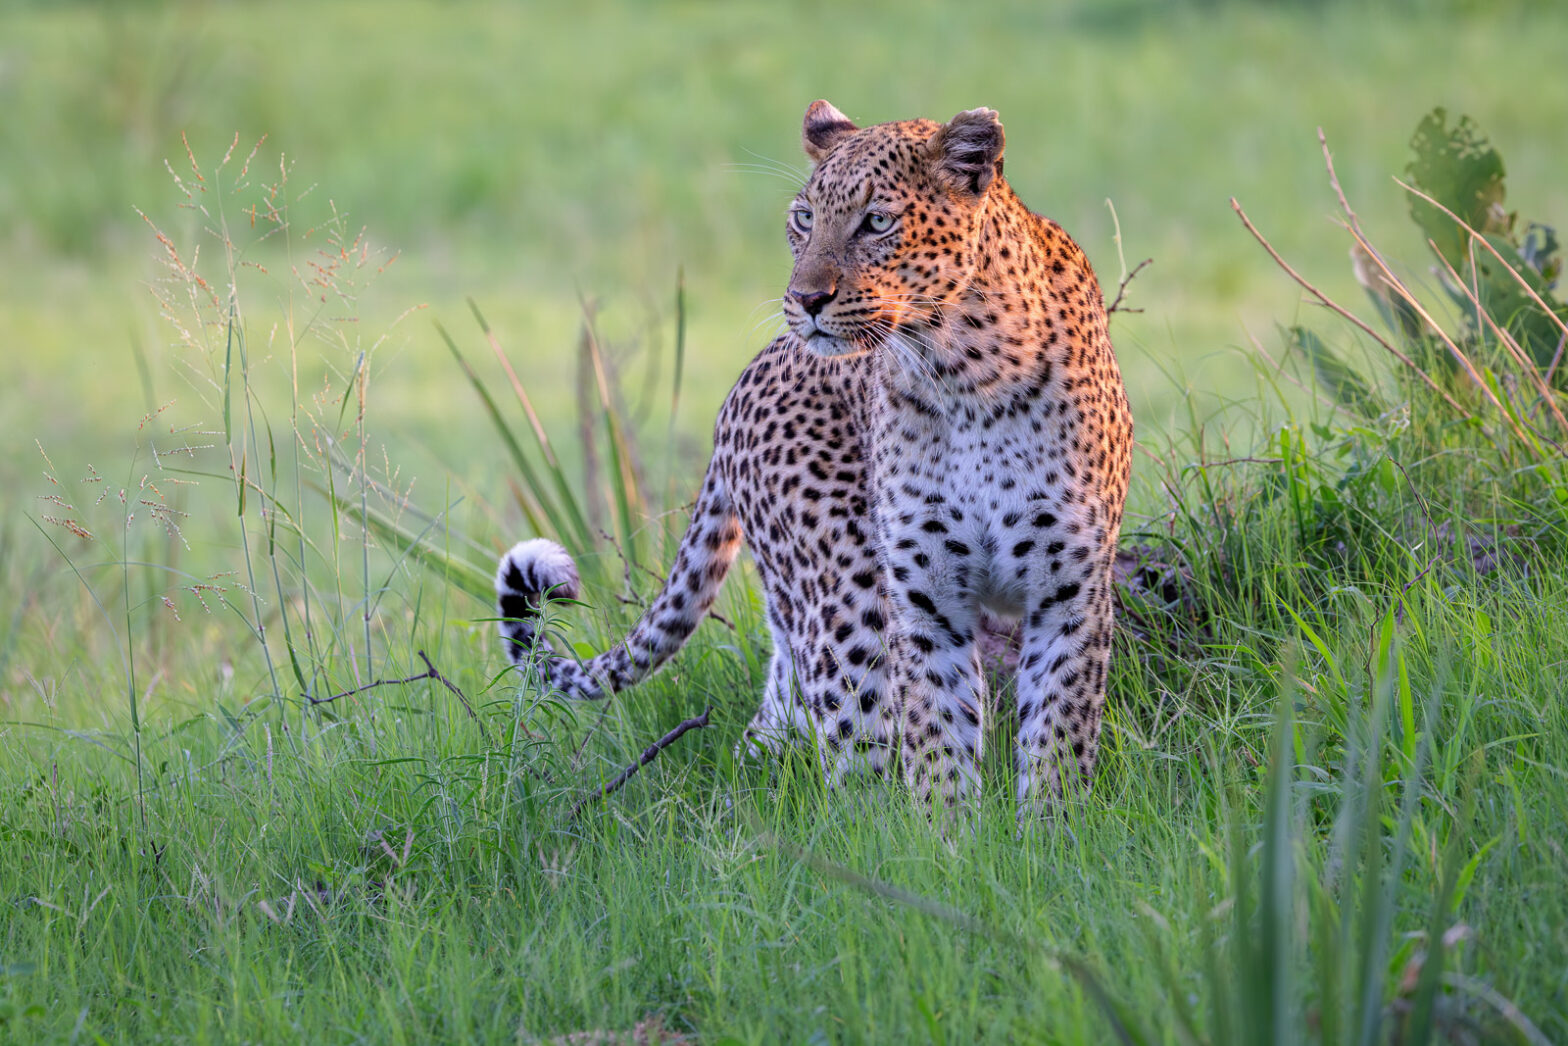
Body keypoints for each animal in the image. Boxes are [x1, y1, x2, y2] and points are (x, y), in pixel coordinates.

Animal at [495, 100, 1135, 815]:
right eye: (803, 218)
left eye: (876, 221)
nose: (805, 300)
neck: (965, 375)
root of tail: (741, 382)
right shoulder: (925, 599)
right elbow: (936, 744)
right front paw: (945, 838)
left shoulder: (1068, 591)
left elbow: (1058, 740)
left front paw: (1046, 829)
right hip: (845, 596)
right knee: (853, 752)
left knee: (773, 726)